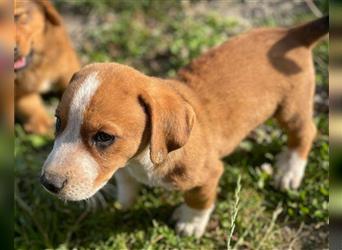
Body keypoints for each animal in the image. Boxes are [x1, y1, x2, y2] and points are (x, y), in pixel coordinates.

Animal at [40, 16, 328, 237]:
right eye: (58, 121)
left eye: (103, 137)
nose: (47, 183)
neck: (143, 159)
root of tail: (291, 33)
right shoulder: (123, 165)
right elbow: (126, 181)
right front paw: (124, 202)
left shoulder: (208, 175)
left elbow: (198, 200)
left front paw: (190, 223)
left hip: (291, 109)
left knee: (305, 132)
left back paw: (289, 170)